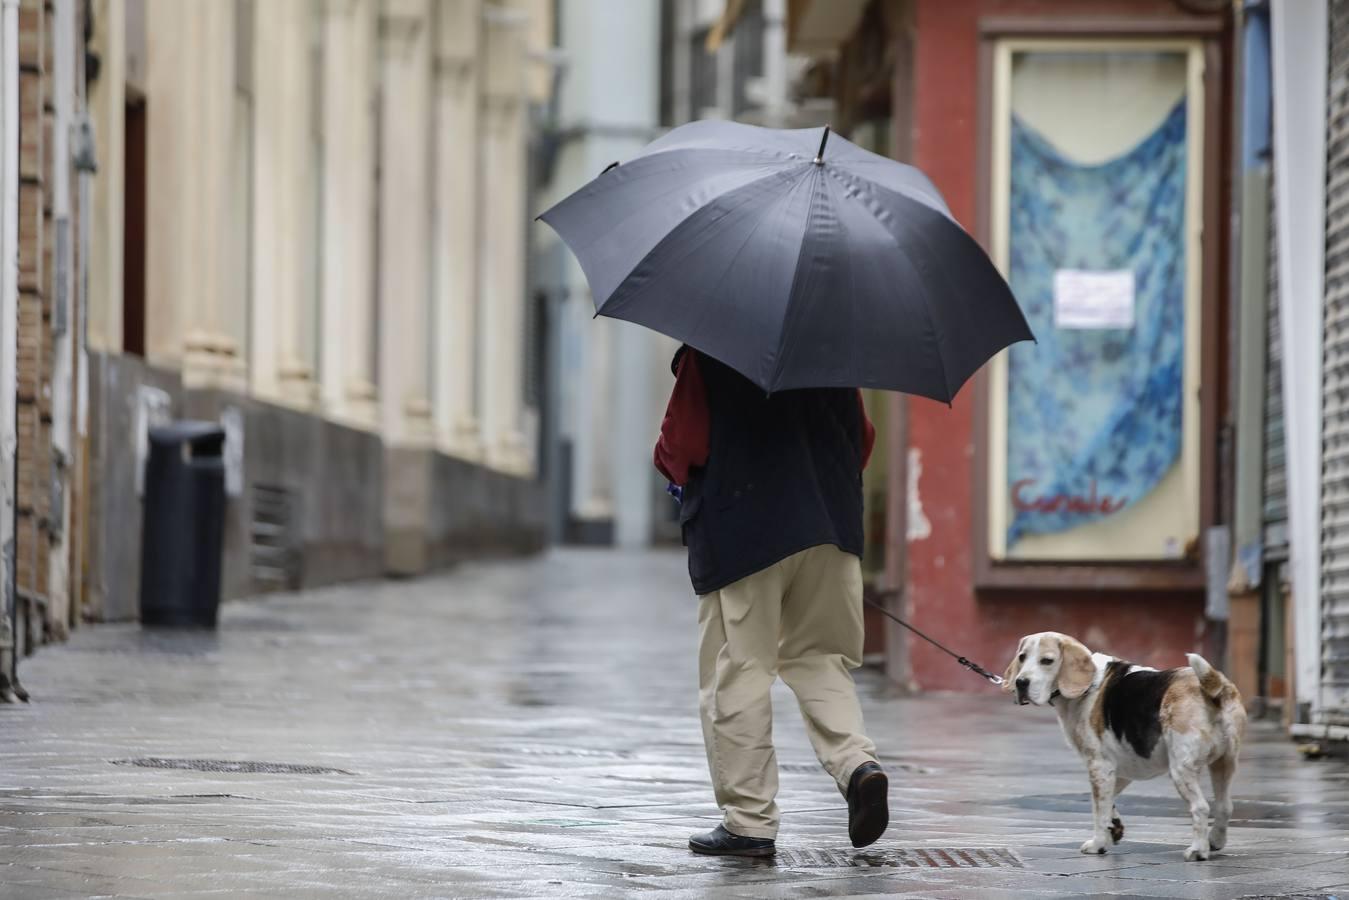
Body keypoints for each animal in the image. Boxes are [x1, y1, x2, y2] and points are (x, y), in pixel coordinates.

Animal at [1003, 634, 1241, 858]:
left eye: (1047, 661)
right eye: (1022, 657)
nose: (1020, 682)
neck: (1090, 684)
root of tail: (1213, 689)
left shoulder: (1099, 766)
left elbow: (1098, 809)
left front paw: (1098, 843)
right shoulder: (1120, 769)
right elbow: (1108, 803)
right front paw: (1113, 829)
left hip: (1181, 770)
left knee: (1200, 807)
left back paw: (1198, 850)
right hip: (1224, 763)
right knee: (1224, 807)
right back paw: (1215, 841)